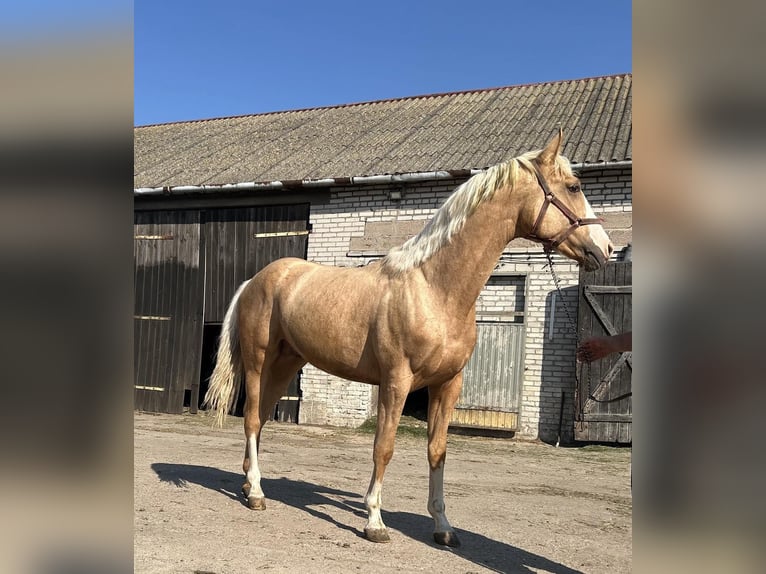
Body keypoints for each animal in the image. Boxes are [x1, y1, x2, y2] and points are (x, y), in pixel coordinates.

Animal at [204, 130, 612, 548]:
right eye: (574, 186)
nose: (606, 249)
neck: (433, 288)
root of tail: (256, 280)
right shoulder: (396, 382)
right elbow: (383, 448)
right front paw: (374, 521)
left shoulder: (448, 384)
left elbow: (438, 452)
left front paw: (443, 527)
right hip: (258, 362)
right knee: (252, 418)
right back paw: (255, 493)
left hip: (287, 363)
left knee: (262, 419)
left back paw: (247, 482)